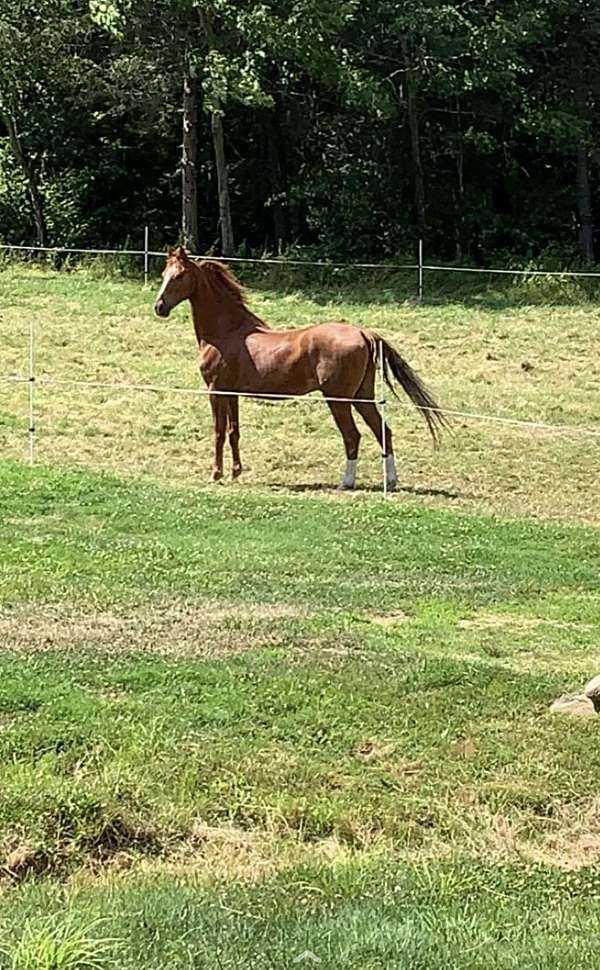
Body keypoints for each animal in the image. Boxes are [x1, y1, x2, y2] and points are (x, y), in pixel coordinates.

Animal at [152, 248, 448, 492]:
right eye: (164, 274)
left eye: (179, 276)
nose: (159, 307)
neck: (227, 331)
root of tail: (364, 333)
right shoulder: (232, 393)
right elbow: (233, 432)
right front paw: (236, 472)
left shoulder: (216, 391)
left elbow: (218, 432)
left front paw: (216, 474)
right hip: (362, 397)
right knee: (383, 432)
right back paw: (391, 481)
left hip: (339, 400)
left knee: (353, 436)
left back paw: (346, 482)